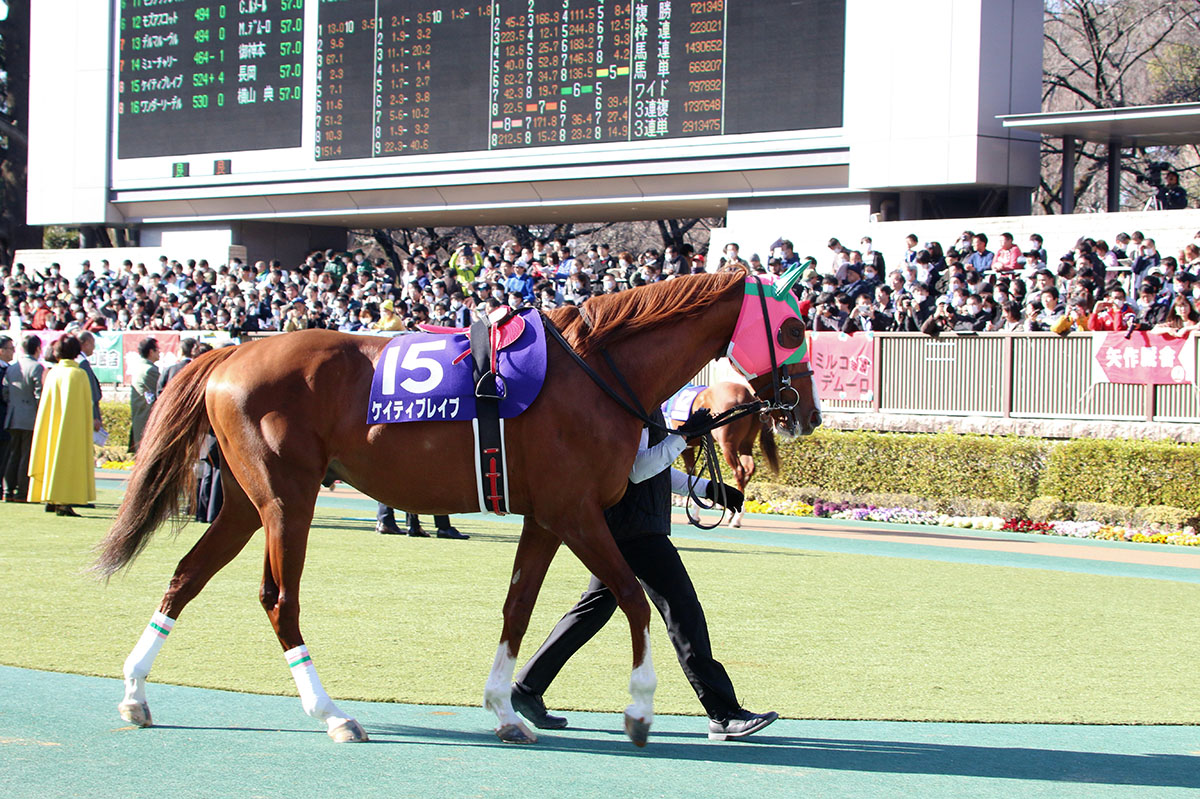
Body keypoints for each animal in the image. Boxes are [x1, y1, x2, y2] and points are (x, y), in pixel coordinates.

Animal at [674, 381, 783, 528]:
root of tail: (749, 395)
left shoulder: (685, 446)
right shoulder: (688, 447)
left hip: (727, 444)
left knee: (739, 471)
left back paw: (735, 517)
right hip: (745, 443)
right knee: (749, 469)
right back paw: (735, 513)